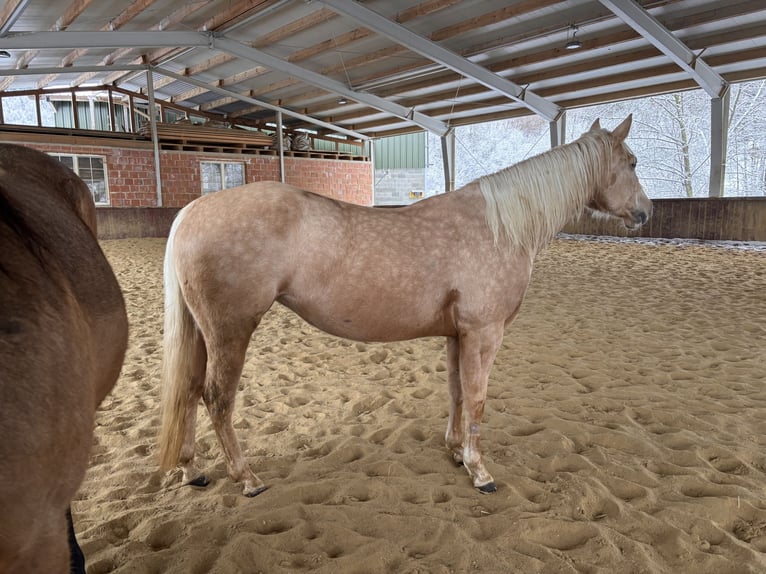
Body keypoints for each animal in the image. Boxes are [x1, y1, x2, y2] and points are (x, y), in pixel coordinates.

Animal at [159, 115, 651, 496]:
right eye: (631, 162)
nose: (646, 212)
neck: (500, 226)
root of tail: (193, 210)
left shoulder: (457, 335)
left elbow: (456, 392)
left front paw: (455, 452)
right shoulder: (484, 333)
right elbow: (477, 398)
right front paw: (480, 471)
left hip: (203, 332)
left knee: (188, 390)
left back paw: (192, 470)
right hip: (231, 330)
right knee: (217, 398)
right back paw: (247, 478)